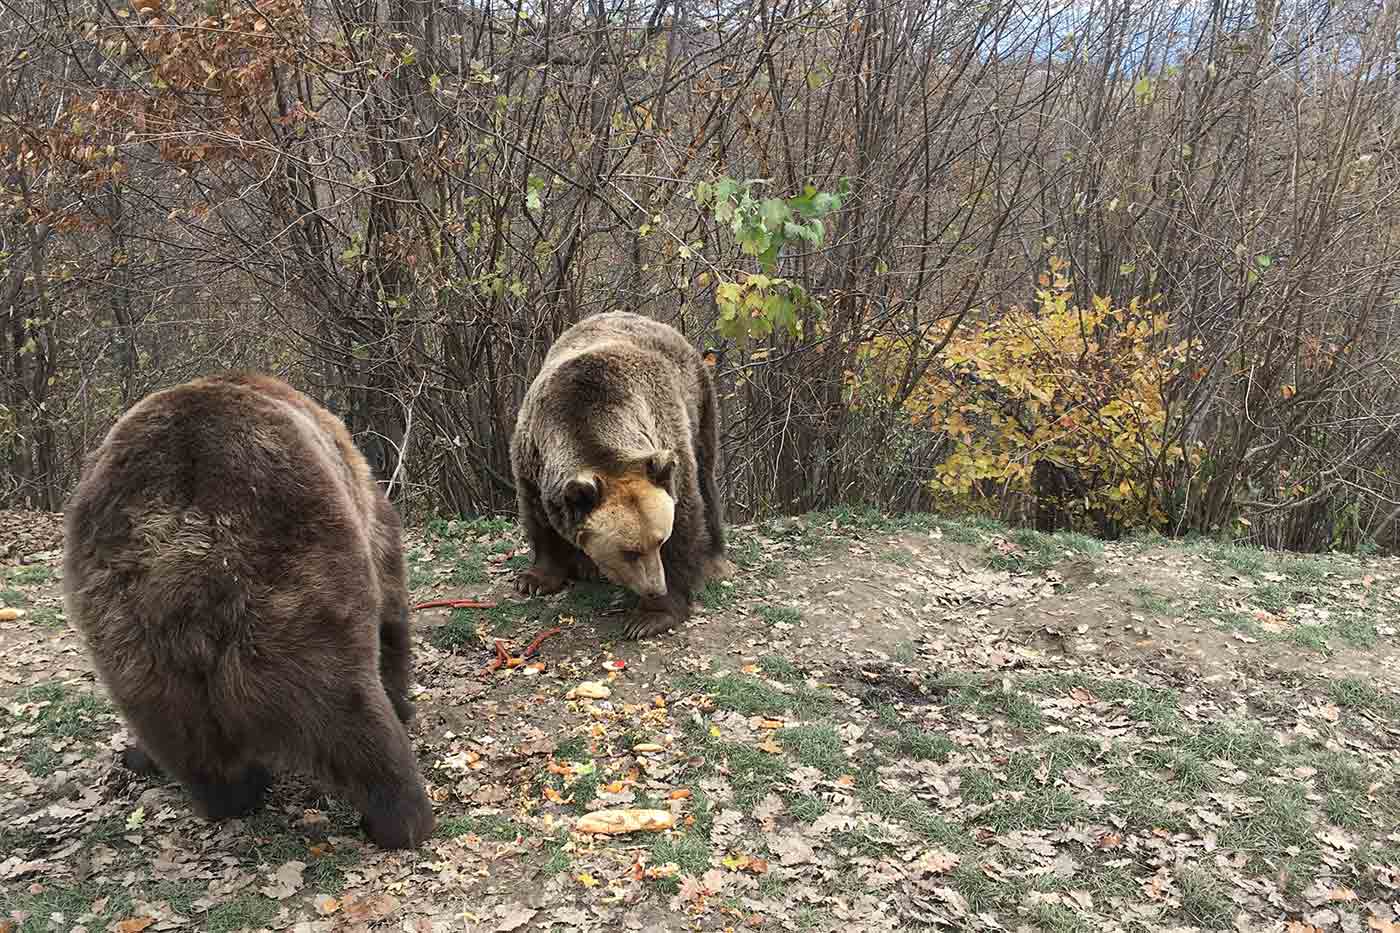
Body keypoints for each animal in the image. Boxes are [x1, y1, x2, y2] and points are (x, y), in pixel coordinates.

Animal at [60, 367, 434, 846]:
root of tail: (185, 552)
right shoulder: (369, 520)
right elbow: (393, 616)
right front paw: (405, 701)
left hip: (131, 637)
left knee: (186, 740)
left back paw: (224, 790)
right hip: (300, 590)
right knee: (351, 708)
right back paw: (403, 818)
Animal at [512, 308, 733, 636]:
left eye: (660, 541)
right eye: (629, 551)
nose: (655, 587)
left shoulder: (667, 439)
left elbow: (686, 518)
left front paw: (650, 617)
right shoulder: (532, 458)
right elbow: (540, 519)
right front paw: (535, 580)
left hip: (699, 399)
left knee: (707, 475)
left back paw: (715, 563)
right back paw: (586, 566)